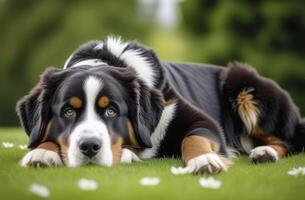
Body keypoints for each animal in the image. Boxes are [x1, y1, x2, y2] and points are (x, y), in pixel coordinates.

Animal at [17, 36, 304, 173]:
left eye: (111, 111)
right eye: (67, 111)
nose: (89, 147)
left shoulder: (202, 120)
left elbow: (195, 138)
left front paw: (204, 161)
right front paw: (41, 152)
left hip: (244, 86)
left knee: (289, 140)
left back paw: (264, 152)